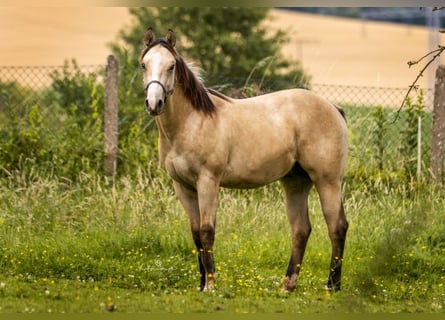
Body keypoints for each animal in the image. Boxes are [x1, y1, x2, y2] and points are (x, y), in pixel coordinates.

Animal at [140, 28, 348, 294]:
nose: (154, 103)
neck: (192, 121)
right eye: (143, 64)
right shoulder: (183, 186)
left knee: (337, 227)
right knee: (301, 230)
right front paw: (201, 284)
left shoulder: (208, 181)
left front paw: (211, 285)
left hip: (327, 181)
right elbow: (196, 234)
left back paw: (332, 285)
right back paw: (287, 286)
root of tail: (333, 108)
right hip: (296, 183)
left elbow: (207, 232)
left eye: (171, 66)